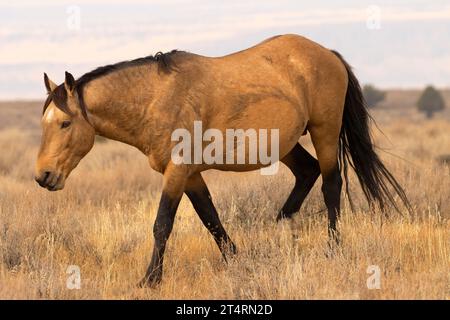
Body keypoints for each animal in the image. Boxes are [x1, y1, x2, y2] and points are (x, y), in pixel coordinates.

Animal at [33, 33, 410, 286]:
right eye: (44, 123)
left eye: (65, 123)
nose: (43, 176)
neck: (156, 98)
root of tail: (327, 54)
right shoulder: (190, 175)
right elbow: (210, 218)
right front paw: (237, 260)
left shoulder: (177, 172)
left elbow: (162, 224)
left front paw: (150, 280)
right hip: (285, 145)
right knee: (308, 172)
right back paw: (278, 227)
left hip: (325, 132)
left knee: (331, 184)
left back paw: (332, 248)